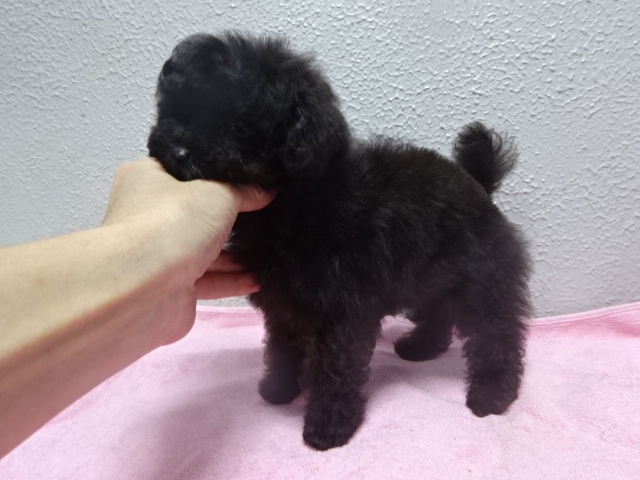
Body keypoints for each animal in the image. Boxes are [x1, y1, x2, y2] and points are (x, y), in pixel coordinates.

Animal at [148, 33, 532, 451]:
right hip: (431, 274)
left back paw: (492, 395)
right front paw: (280, 389)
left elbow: (336, 368)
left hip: (482, 281)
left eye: (240, 126)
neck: (292, 205)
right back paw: (420, 348)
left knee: (496, 335)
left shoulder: (343, 312)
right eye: (177, 111)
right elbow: (282, 348)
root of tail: (478, 182)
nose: (180, 152)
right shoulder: (283, 305)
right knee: (439, 310)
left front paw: (328, 427)